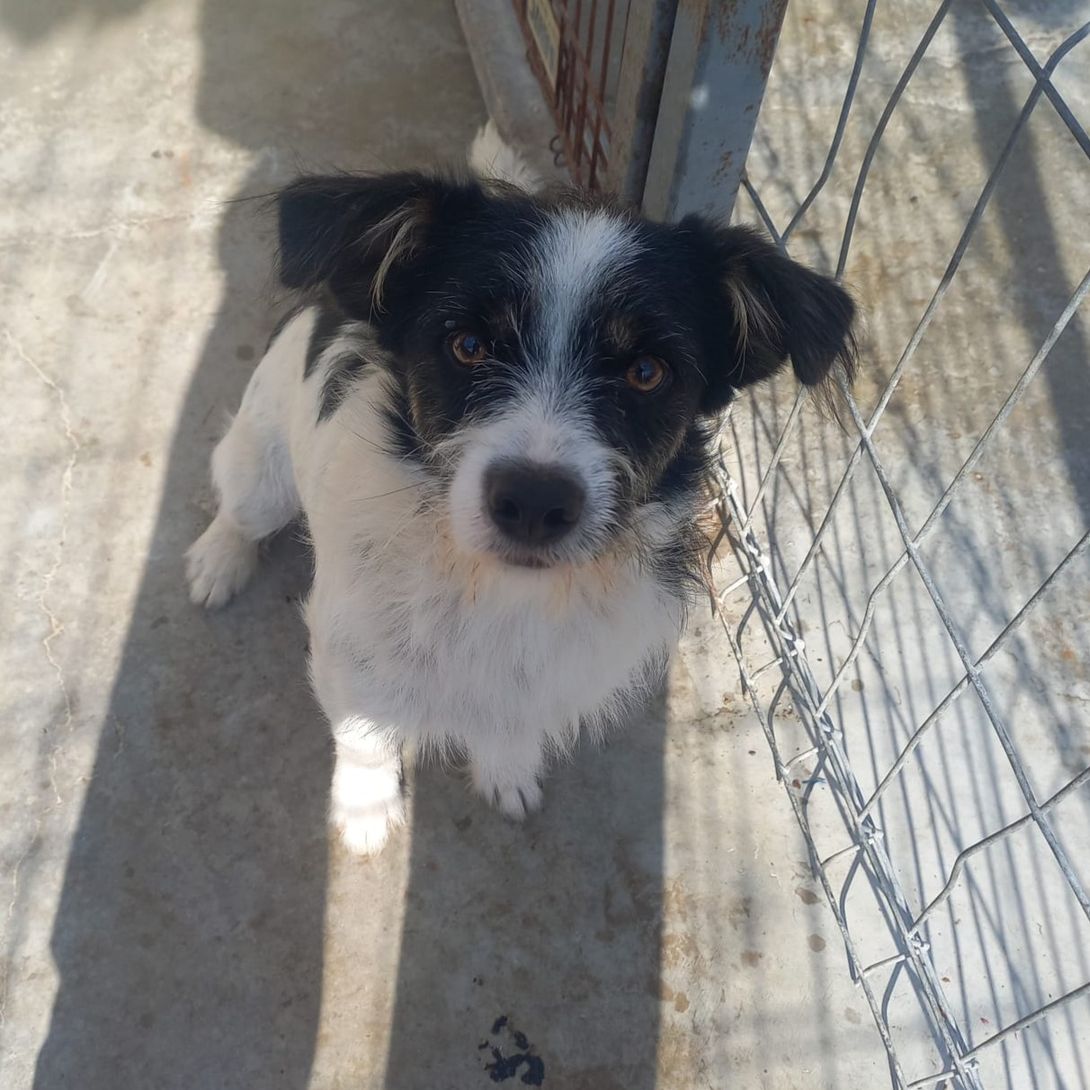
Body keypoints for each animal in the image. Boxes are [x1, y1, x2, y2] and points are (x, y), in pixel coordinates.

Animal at [186, 125, 857, 855]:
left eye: (648, 372)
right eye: (468, 344)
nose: (534, 504)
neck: (499, 589)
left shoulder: (552, 677)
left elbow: (513, 725)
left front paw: (506, 773)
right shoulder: (351, 650)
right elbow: (364, 734)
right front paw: (364, 810)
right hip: (261, 468)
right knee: (242, 509)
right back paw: (217, 563)